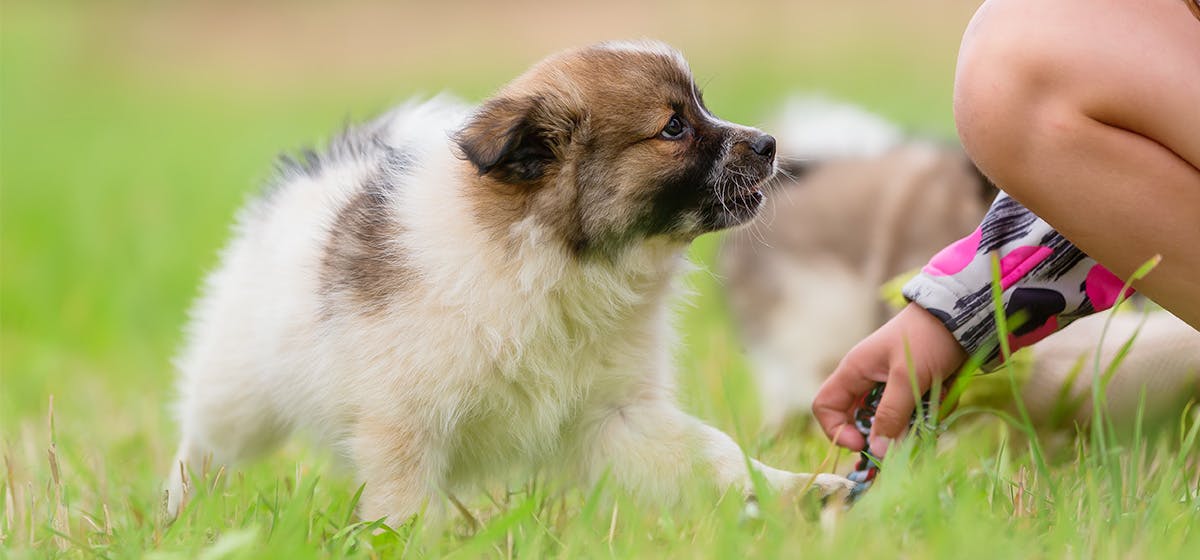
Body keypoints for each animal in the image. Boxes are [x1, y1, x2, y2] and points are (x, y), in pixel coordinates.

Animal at [169, 41, 854, 522]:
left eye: (701, 109)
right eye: (674, 127)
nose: (769, 144)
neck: (559, 262)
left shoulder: (619, 415)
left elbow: (718, 455)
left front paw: (802, 491)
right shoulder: (402, 429)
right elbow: (404, 511)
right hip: (238, 389)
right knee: (202, 443)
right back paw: (181, 515)